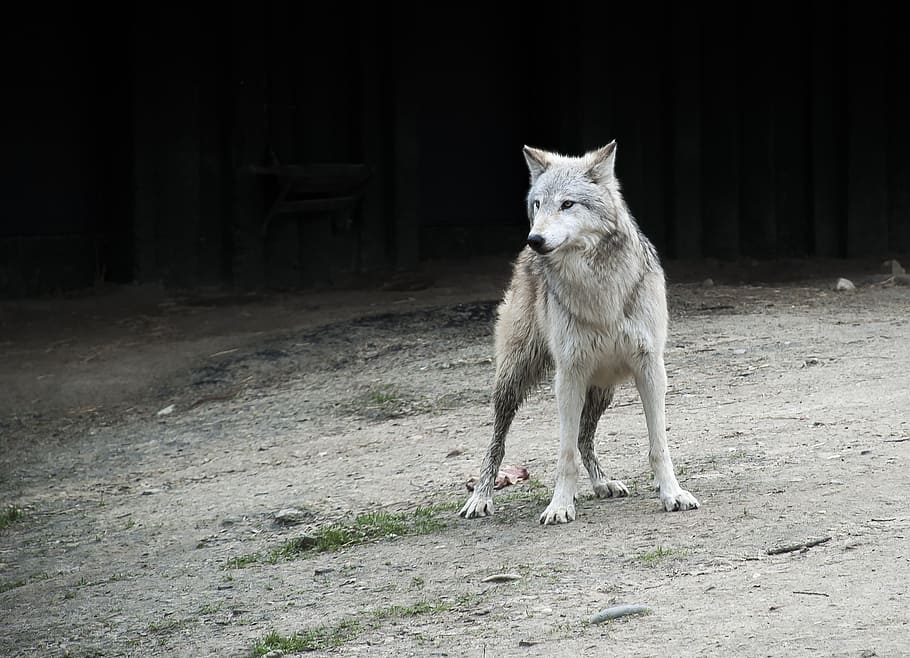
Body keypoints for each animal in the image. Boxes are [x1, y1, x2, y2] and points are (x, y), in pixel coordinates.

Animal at [460, 140, 700, 524]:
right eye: (539, 204)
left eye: (568, 204)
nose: (535, 239)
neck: (598, 288)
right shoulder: (569, 374)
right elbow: (565, 454)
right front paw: (560, 505)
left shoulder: (650, 368)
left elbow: (657, 446)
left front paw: (672, 494)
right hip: (514, 380)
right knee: (499, 441)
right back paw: (481, 498)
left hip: (602, 388)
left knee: (586, 436)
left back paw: (603, 483)